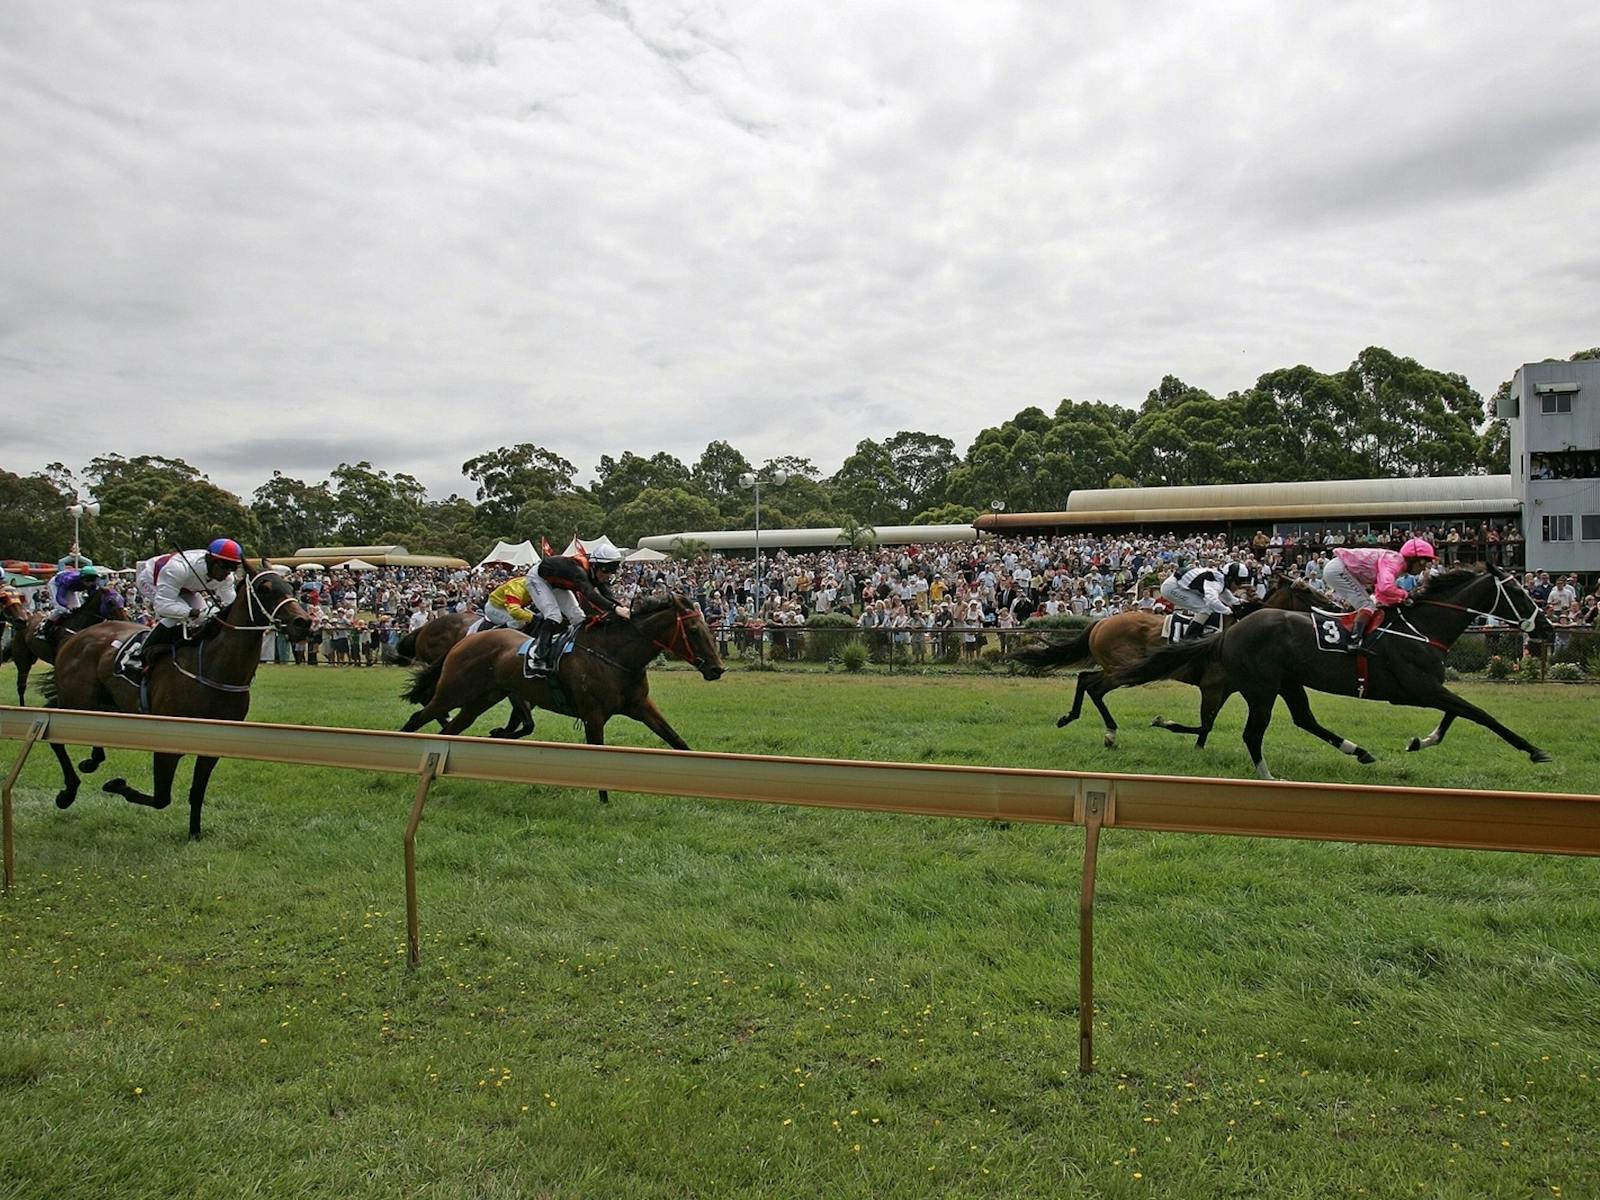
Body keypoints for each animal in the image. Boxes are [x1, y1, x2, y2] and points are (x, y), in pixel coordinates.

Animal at [40, 569, 310, 838]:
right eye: (265, 588)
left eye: (290, 586)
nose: (303, 622)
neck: (212, 668)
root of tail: (75, 637)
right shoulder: (167, 743)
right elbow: (161, 798)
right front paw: (116, 784)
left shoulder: (214, 745)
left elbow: (196, 792)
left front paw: (194, 834)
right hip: (77, 701)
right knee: (51, 724)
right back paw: (68, 792)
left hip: (99, 704)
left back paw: (91, 762)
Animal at [400, 598, 726, 803]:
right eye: (694, 630)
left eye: (709, 628)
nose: (717, 669)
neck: (615, 655)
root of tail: (465, 640)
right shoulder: (593, 714)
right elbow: (598, 755)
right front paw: (604, 800)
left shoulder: (642, 707)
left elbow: (676, 741)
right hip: (452, 692)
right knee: (420, 717)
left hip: (480, 700)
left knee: (449, 730)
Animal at [1011, 579, 1337, 748]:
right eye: (1307, 592)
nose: (1337, 606)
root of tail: (1101, 622)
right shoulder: (1213, 686)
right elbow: (1205, 723)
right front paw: (1165, 723)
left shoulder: (1226, 688)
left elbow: (1207, 726)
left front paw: (1198, 749)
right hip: (1127, 670)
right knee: (1094, 686)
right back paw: (1108, 732)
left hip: (1119, 668)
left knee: (1085, 679)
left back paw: (1075, 719)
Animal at [1100, 569, 1548, 780]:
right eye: (1518, 593)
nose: (1545, 627)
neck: (1419, 629)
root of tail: (1230, 633)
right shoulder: (1418, 688)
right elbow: (1478, 713)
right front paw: (1534, 750)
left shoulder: (1429, 688)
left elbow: (1459, 713)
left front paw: (1421, 741)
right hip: (1262, 687)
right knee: (1254, 733)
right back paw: (1269, 776)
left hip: (1286, 682)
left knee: (1303, 719)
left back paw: (1358, 750)